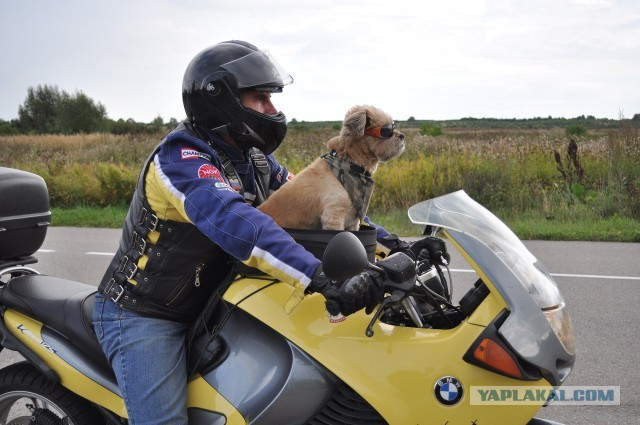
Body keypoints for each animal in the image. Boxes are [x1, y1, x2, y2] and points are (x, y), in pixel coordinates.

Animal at [258, 104, 404, 230]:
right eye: (387, 130)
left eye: (393, 126)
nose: (402, 135)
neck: (350, 164)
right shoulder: (334, 217)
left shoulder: (353, 222)